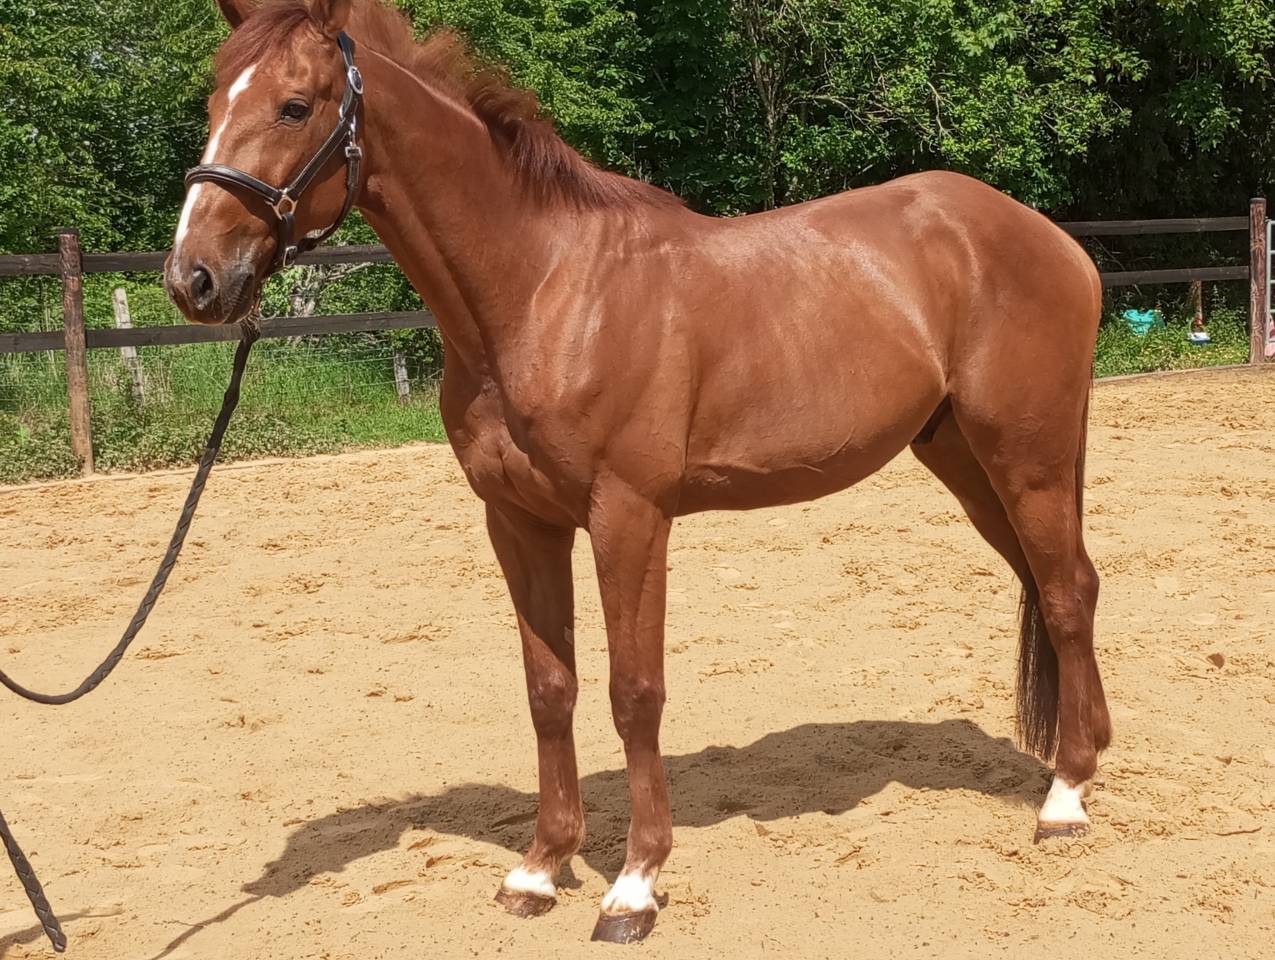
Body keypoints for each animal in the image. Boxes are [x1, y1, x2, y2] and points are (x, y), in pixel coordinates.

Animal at [166, 0, 1110, 943]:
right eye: (212, 101)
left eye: (294, 107)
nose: (193, 279)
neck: (544, 291)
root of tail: (1051, 239)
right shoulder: (518, 521)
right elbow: (549, 688)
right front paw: (539, 869)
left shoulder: (629, 516)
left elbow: (633, 690)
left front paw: (634, 884)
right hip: (963, 459)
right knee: (1061, 583)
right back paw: (1088, 754)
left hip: (1025, 459)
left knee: (1064, 593)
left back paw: (1063, 799)